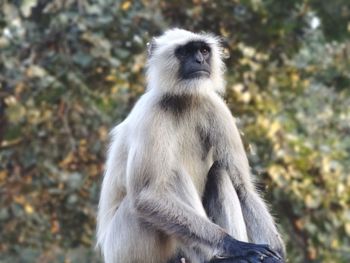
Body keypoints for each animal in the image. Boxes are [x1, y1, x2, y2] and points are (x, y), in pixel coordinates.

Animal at [95, 28, 284, 263]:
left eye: (203, 50)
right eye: (185, 52)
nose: (199, 60)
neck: (184, 99)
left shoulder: (216, 106)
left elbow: (243, 189)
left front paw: (276, 251)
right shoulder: (151, 113)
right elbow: (146, 196)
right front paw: (236, 246)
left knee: (220, 172)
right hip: (127, 245)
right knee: (171, 175)